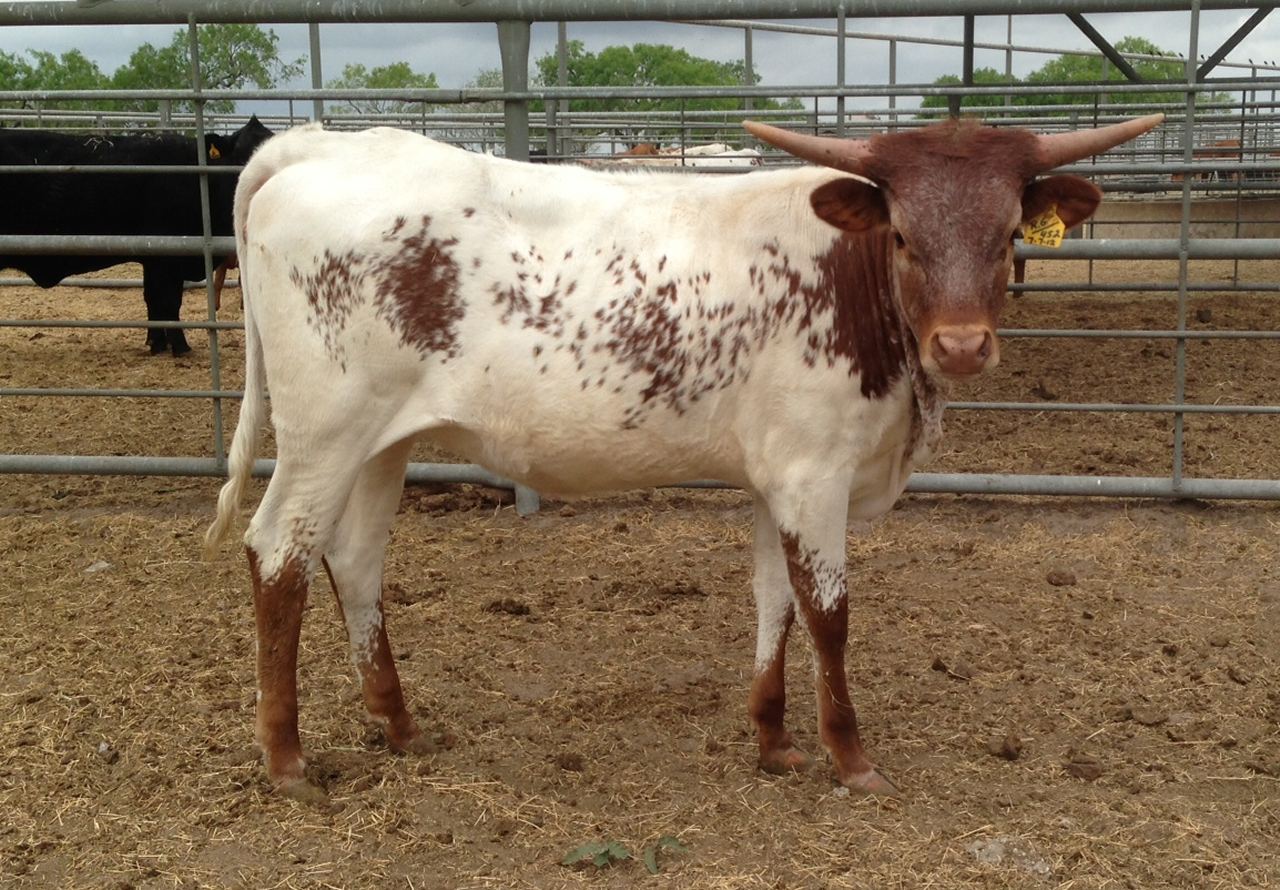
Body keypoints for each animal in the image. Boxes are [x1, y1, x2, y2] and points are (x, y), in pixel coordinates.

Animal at [0, 116, 270, 356]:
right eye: (243, 156)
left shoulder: (154, 256)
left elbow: (153, 299)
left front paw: (156, 343)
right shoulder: (166, 258)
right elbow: (168, 301)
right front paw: (180, 347)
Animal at [207, 109, 1162, 799]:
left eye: (1008, 234)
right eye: (902, 236)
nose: (962, 347)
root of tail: (319, 145)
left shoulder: (778, 475)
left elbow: (775, 601)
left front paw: (774, 739)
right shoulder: (815, 475)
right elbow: (829, 615)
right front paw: (850, 758)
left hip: (382, 440)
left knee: (355, 558)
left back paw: (399, 726)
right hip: (324, 433)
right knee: (279, 555)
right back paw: (288, 760)